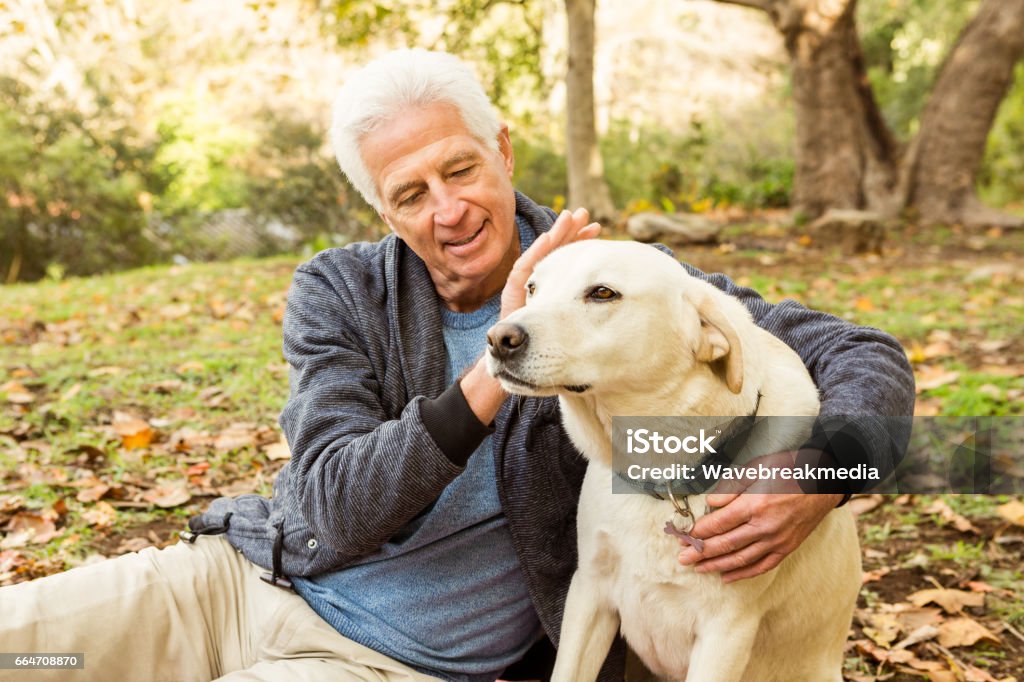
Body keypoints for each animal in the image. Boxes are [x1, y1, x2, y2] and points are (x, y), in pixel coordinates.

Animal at [483, 238, 860, 679]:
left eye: (602, 293)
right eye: (532, 288)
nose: (498, 339)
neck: (664, 473)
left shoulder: (725, 632)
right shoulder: (588, 593)